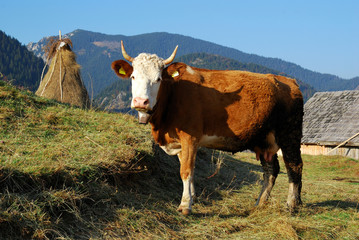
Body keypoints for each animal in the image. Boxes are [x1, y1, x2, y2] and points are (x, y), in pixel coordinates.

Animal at [112, 41, 304, 216]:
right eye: (133, 77)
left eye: (158, 79)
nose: (140, 102)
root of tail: (288, 81)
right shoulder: (180, 143)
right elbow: (190, 169)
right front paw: (193, 197)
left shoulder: (190, 137)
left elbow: (186, 171)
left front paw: (185, 205)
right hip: (263, 138)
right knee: (271, 170)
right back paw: (261, 202)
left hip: (290, 134)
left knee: (294, 166)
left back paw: (291, 204)